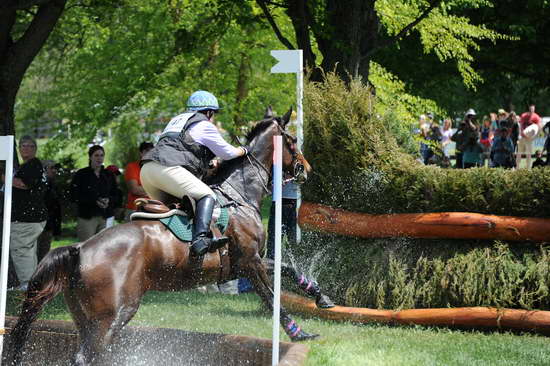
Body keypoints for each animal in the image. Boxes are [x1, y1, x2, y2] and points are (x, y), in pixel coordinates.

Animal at [6, 108, 334, 366]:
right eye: (292, 141)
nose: (306, 169)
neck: (239, 193)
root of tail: (80, 249)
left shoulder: (243, 265)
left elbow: (288, 269)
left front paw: (322, 298)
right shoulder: (250, 263)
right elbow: (272, 298)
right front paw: (300, 332)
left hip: (85, 317)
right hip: (112, 316)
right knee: (88, 357)